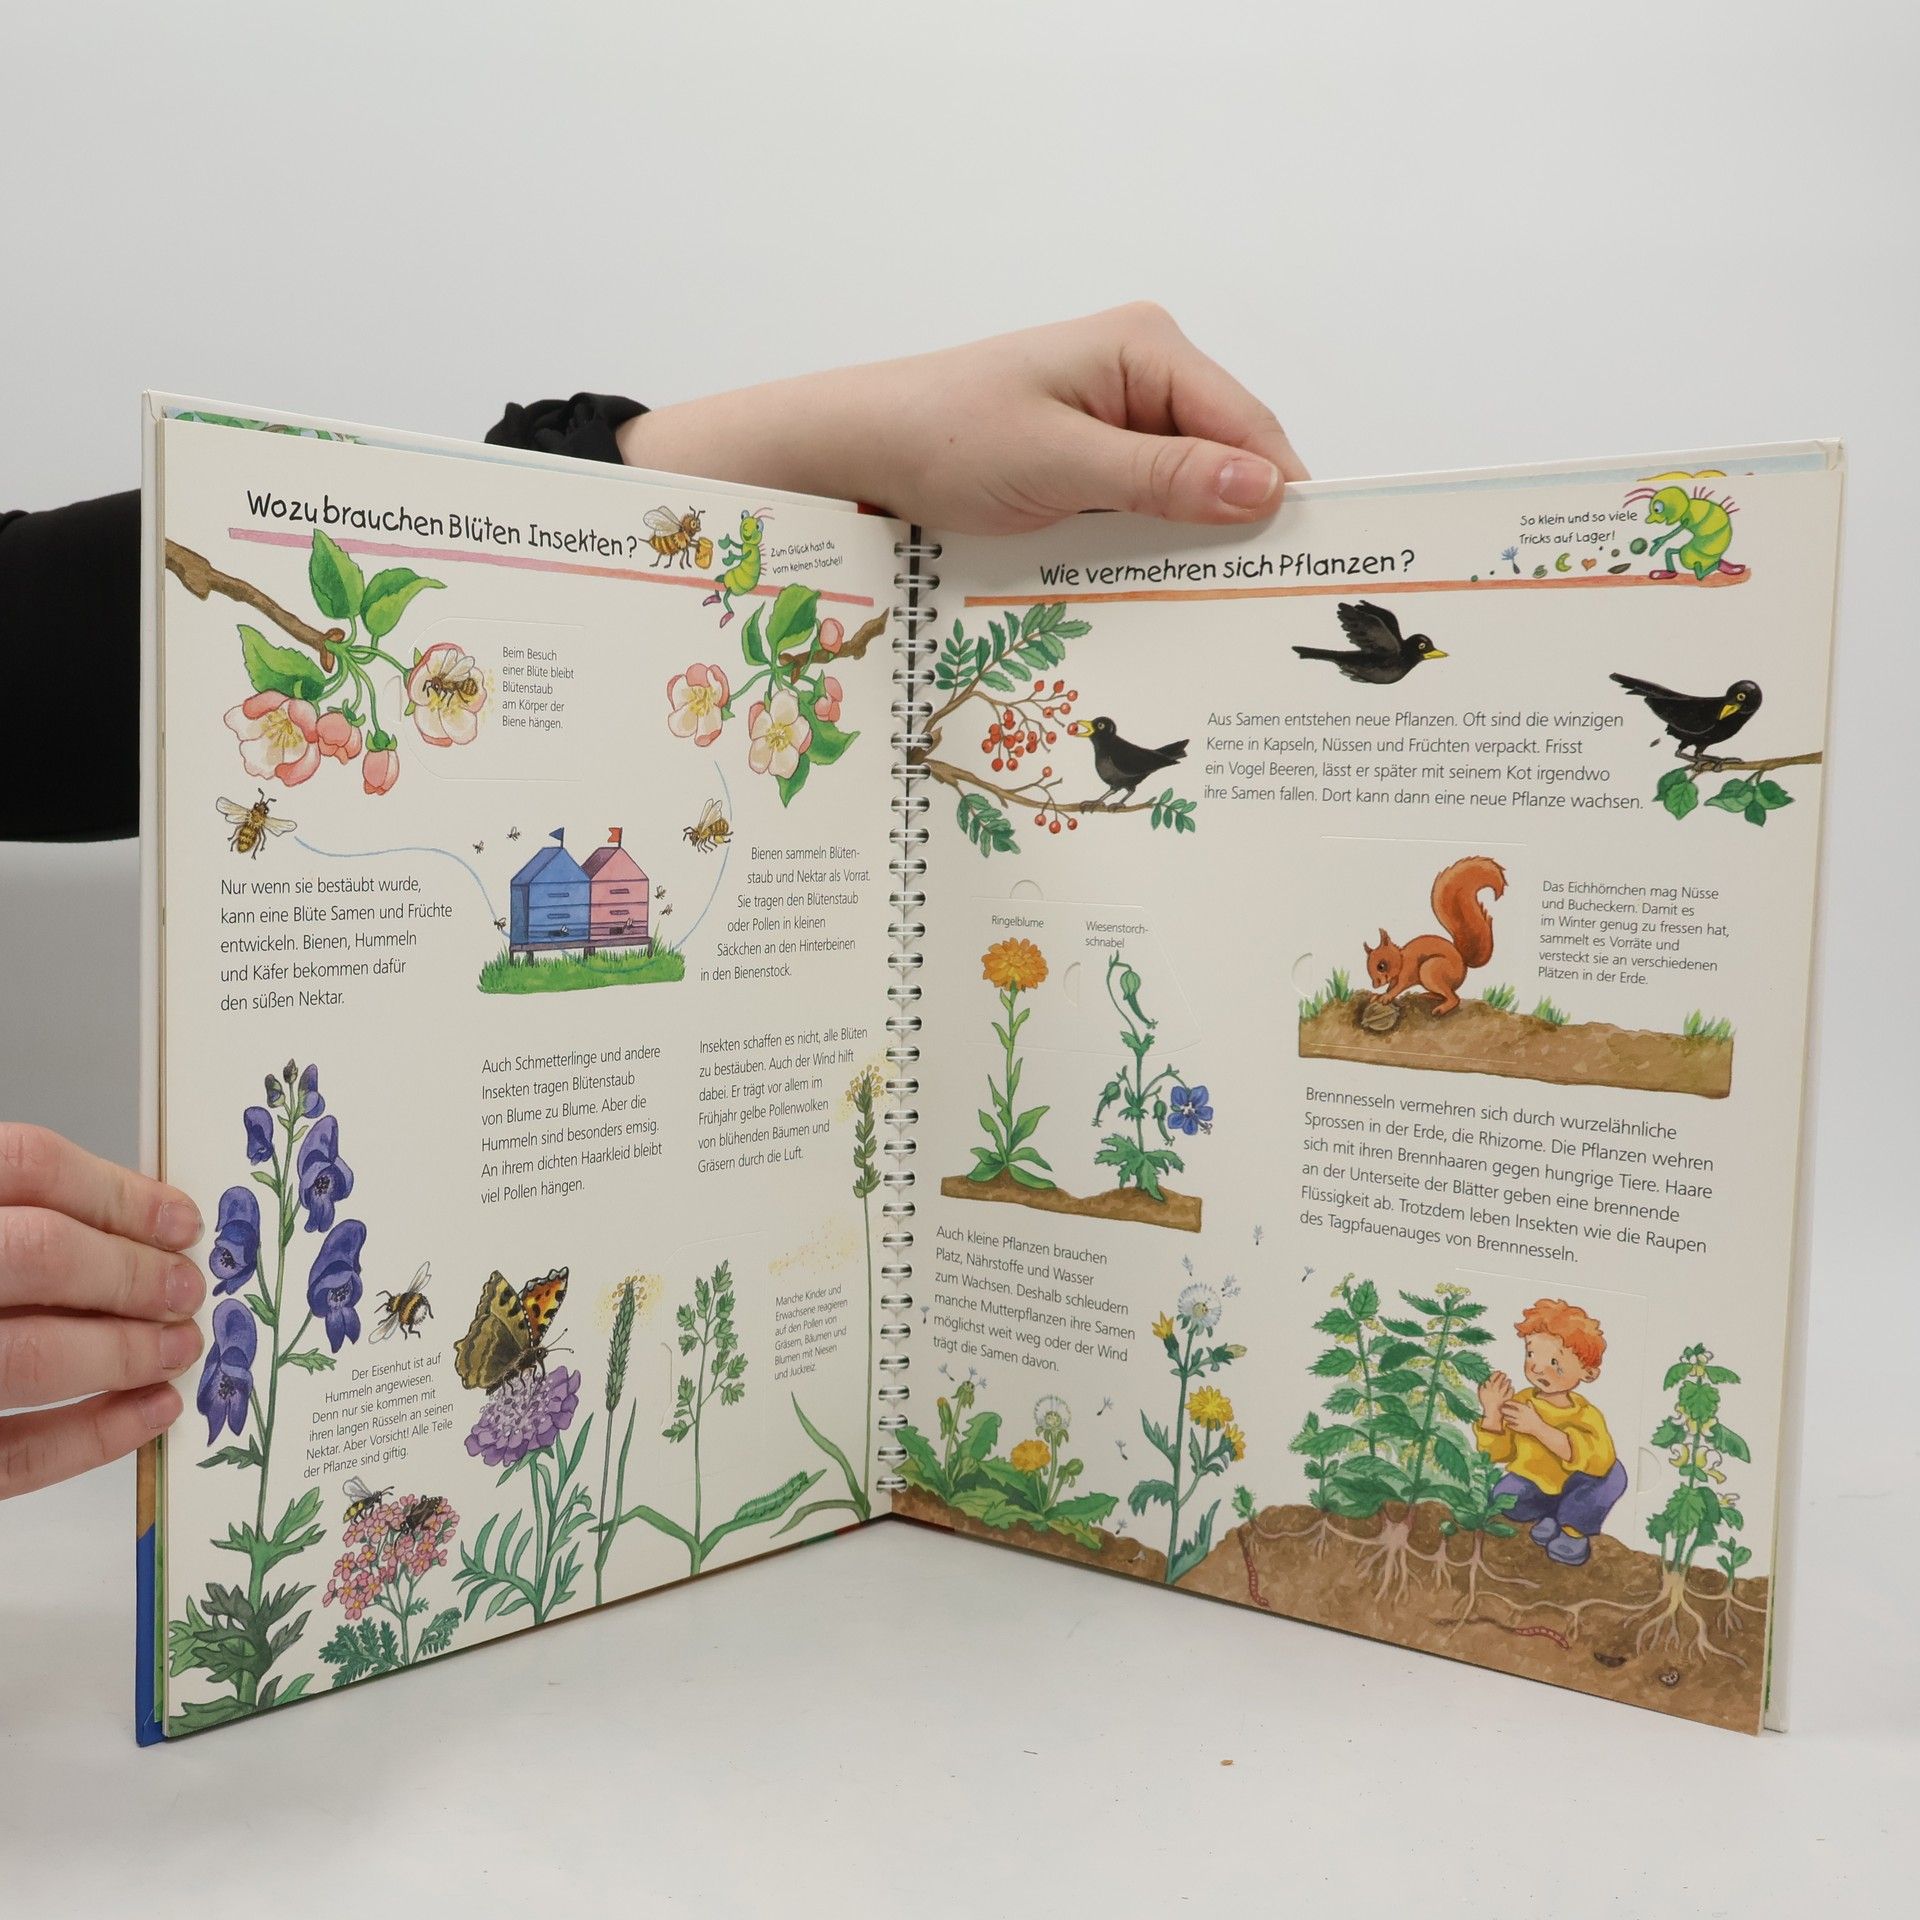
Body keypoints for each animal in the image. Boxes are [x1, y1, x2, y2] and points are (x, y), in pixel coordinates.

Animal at [1363, 856, 1508, 1017]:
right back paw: (1430, 995)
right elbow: (1391, 986)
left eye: (1381, 966)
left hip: (1431, 970)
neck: (1401, 959)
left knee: (1454, 997)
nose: (1375, 985)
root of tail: (1463, 964)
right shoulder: (1394, 979)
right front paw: (1380, 995)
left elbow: (1399, 987)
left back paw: (1442, 1008)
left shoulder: (1407, 972)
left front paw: (1386, 996)